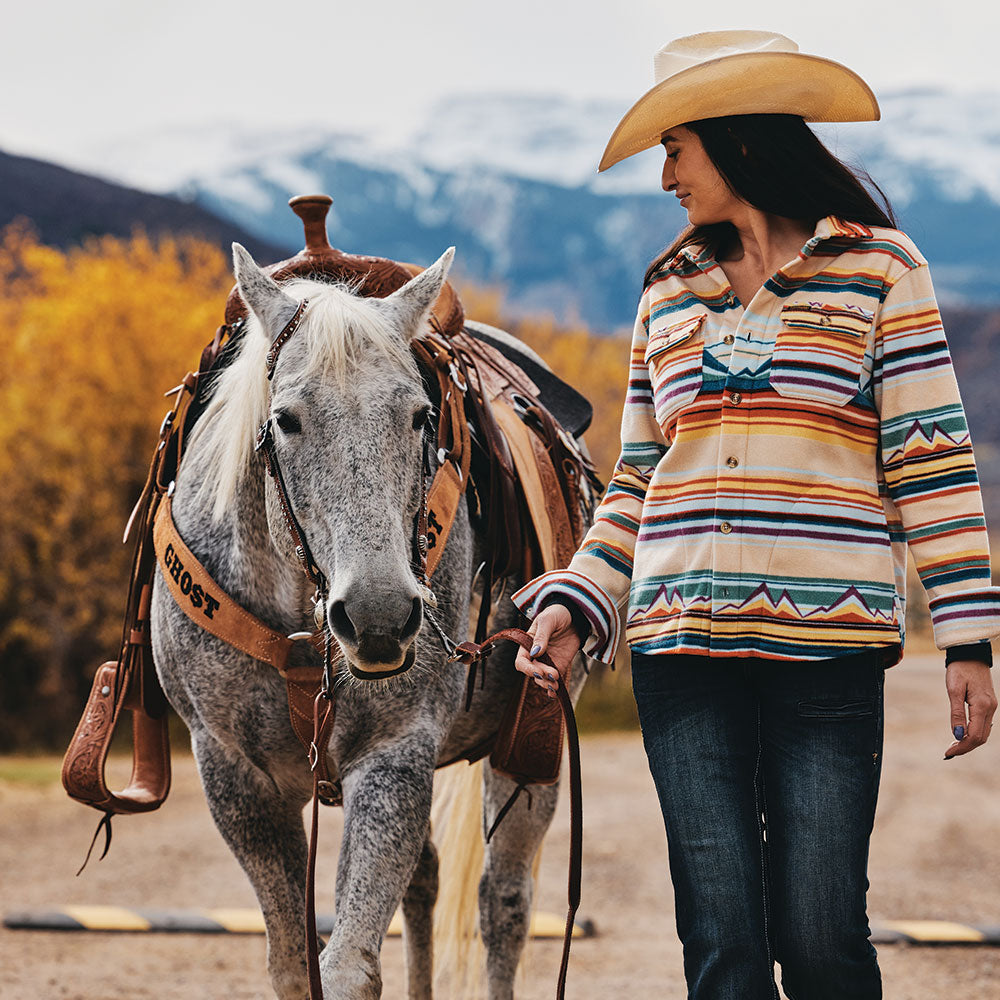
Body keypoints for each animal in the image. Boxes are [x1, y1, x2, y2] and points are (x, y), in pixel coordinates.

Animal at [149, 244, 592, 1000]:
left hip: (532, 744)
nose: (379, 615)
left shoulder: (394, 756)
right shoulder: (233, 773)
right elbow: (294, 963)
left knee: (503, 903)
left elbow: (347, 966)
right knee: (426, 884)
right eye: (287, 419)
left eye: (419, 416)